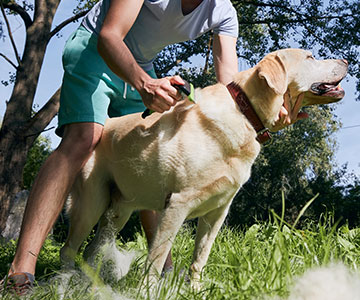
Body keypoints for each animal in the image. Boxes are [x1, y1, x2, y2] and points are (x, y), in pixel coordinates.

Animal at [60, 48, 348, 288]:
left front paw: (195, 289)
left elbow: (200, 257)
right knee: (70, 248)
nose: (346, 61)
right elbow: (157, 257)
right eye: (310, 57)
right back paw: (65, 282)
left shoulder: (217, 211)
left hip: (118, 212)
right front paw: (147, 291)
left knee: (93, 250)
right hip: (91, 204)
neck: (245, 112)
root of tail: (104, 126)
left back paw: (90, 283)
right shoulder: (177, 205)